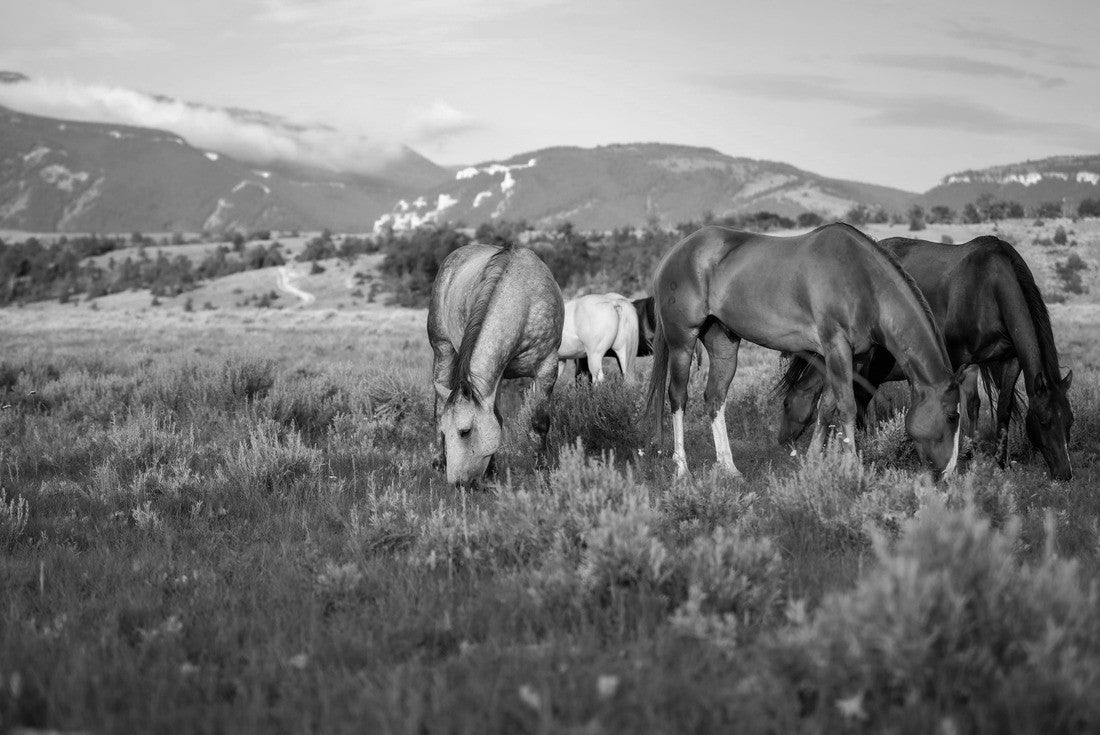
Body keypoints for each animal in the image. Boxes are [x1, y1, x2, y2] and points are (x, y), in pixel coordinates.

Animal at [427, 241, 564, 486]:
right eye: (446, 430)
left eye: (464, 431)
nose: (456, 483)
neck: (523, 301)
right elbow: (497, 419)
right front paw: (492, 470)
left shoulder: (547, 366)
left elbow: (539, 420)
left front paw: (543, 467)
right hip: (442, 348)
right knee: (438, 405)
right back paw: (437, 461)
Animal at [645, 223, 963, 480]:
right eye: (952, 417)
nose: (949, 473)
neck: (862, 280)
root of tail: (675, 252)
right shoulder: (836, 348)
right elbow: (846, 407)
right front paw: (853, 469)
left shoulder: (851, 357)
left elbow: (826, 407)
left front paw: (813, 462)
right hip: (682, 341)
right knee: (678, 398)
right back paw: (682, 470)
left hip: (723, 342)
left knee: (715, 398)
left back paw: (729, 468)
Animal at [776, 235, 1073, 480]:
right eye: (1044, 421)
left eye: (1069, 420)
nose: (1065, 473)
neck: (988, 285)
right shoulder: (957, 359)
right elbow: (961, 406)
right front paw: (961, 456)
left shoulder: (1010, 360)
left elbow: (1002, 409)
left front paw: (999, 461)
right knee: (859, 397)